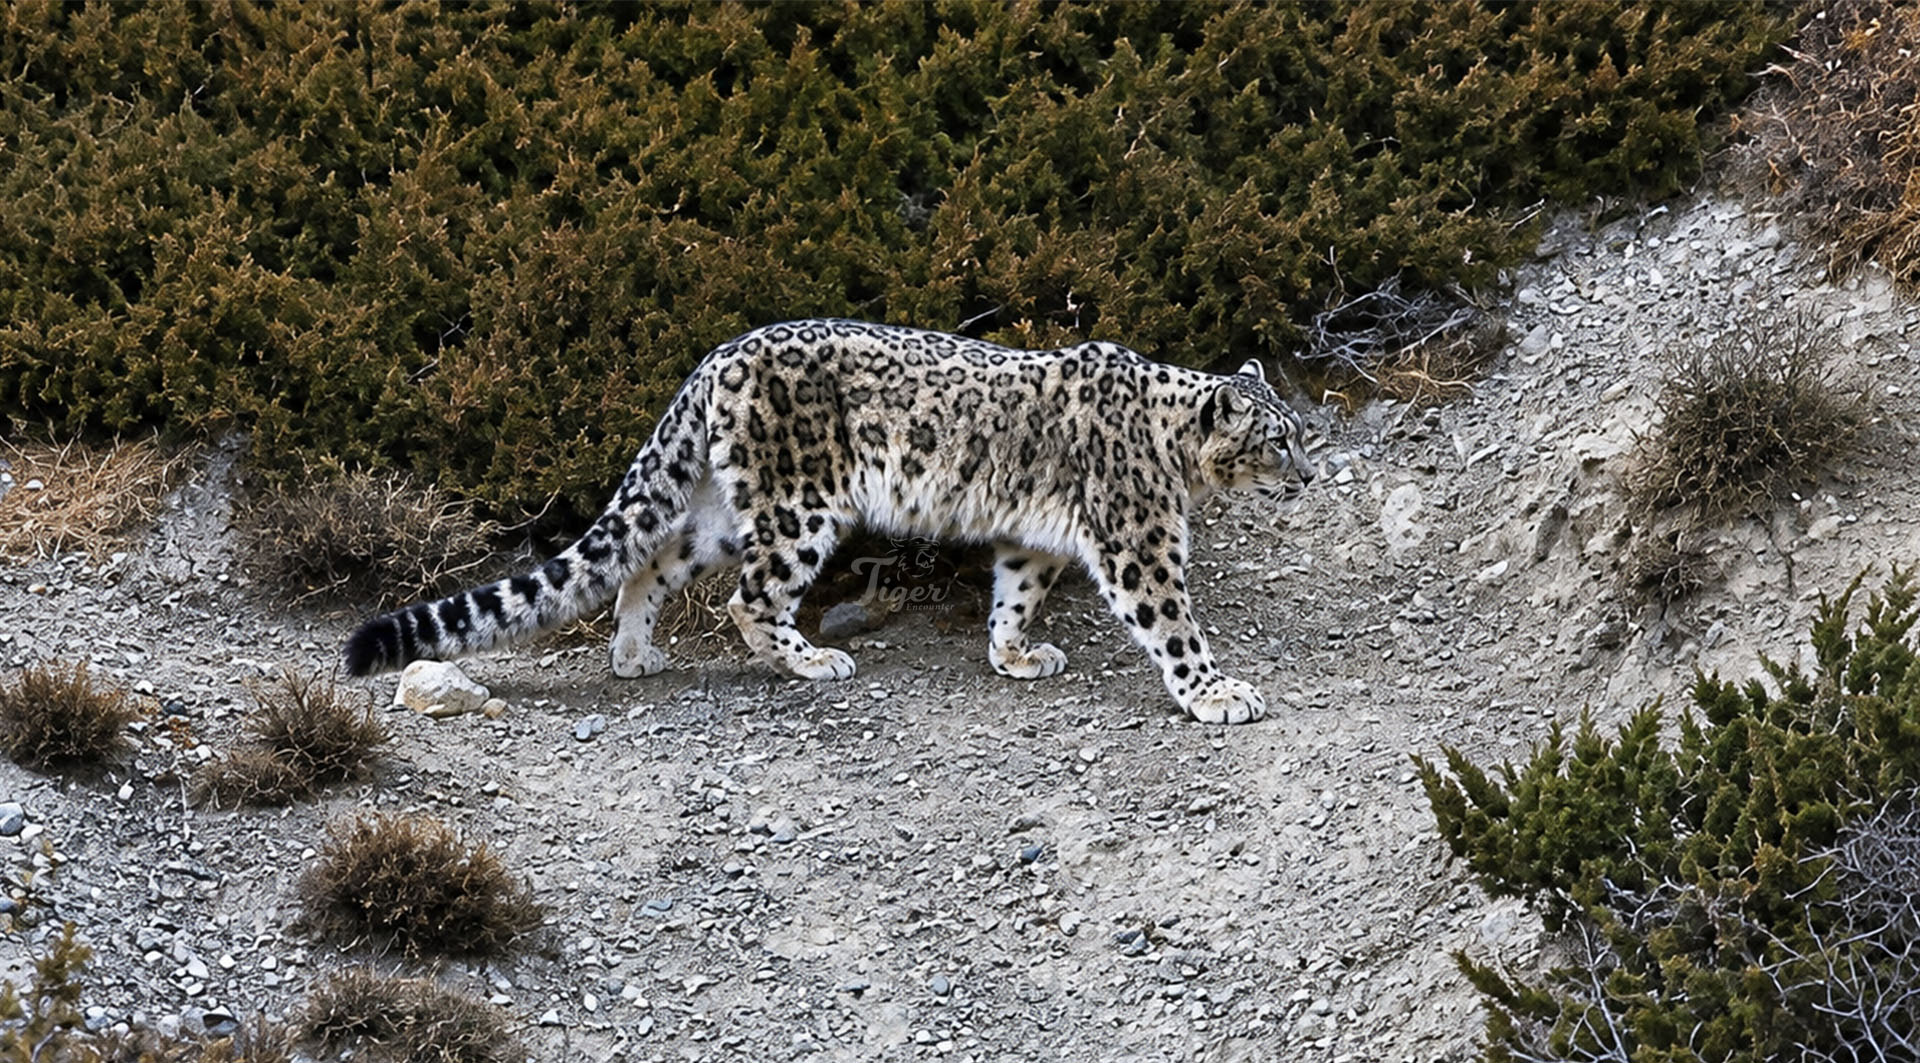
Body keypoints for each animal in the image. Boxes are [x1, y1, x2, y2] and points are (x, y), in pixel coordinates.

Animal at [343, 319, 1315, 724]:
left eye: (1303, 433)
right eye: (1278, 438)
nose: (1311, 474)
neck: (1175, 454)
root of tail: (715, 358)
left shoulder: (1032, 539)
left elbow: (1015, 591)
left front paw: (1014, 653)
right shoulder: (1138, 537)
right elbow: (1173, 623)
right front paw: (1216, 693)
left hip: (720, 510)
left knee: (649, 563)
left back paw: (633, 653)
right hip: (800, 503)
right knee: (748, 598)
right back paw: (810, 660)